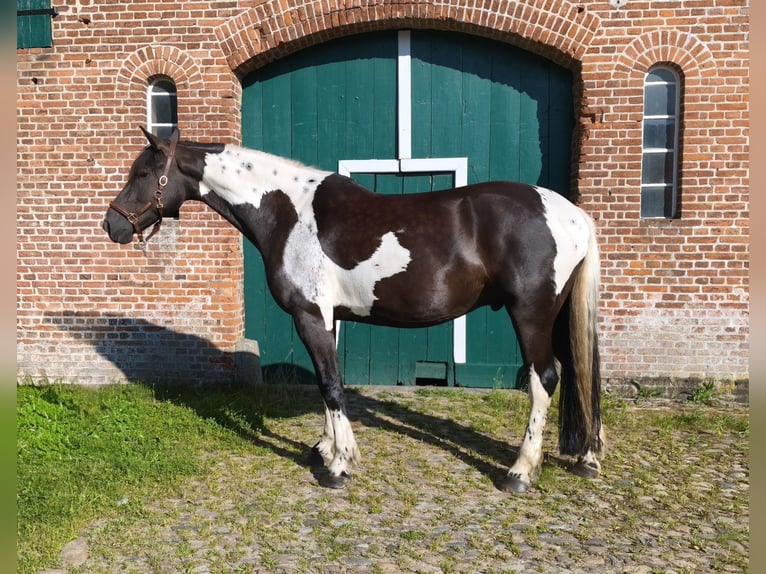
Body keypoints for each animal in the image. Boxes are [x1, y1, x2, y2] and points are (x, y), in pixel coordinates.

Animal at [103, 127, 604, 493]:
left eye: (143, 173)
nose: (111, 225)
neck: (286, 211)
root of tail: (573, 214)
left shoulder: (309, 315)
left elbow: (330, 385)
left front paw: (339, 466)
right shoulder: (329, 318)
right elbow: (330, 385)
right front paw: (325, 448)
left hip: (531, 315)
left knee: (545, 379)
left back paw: (519, 471)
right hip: (556, 316)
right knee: (578, 374)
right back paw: (586, 457)